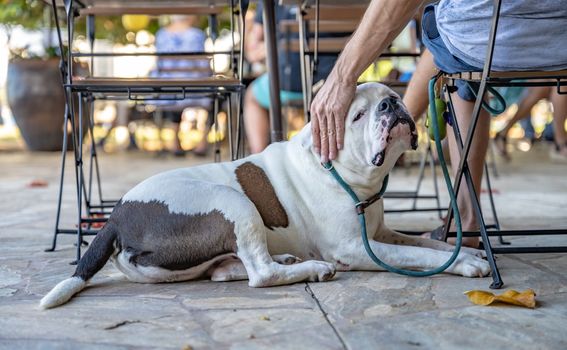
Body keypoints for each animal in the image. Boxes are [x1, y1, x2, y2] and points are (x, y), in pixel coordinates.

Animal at [41, 82, 492, 308]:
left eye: (393, 97)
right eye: (358, 116)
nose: (391, 105)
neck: (346, 175)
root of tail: (115, 218)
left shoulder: (380, 233)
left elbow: (426, 245)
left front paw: (466, 252)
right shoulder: (356, 247)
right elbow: (417, 256)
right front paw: (467, 265)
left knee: (228, 269)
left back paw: (286, 260)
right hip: (233, 201)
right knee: (261, 274)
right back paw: (311, 268)